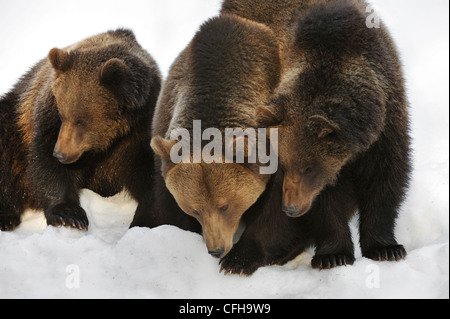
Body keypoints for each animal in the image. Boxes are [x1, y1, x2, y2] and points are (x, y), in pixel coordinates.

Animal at [0, 28, 162, 231]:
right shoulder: (47, 115)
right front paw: (69, 215)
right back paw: (6, 216)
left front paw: (146, 219)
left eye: (81, 121)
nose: (60, 153)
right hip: (13, 124)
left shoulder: (142, 126)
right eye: (63, 114)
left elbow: (147, 169)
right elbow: (46, 164)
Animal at [256, 0, 412, 270]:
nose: (290, 207)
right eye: (283, 165)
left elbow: (386, 181)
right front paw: (333, 255)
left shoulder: (387, 128)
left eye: (309, 167)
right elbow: (325, 203)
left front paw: (386, 248)